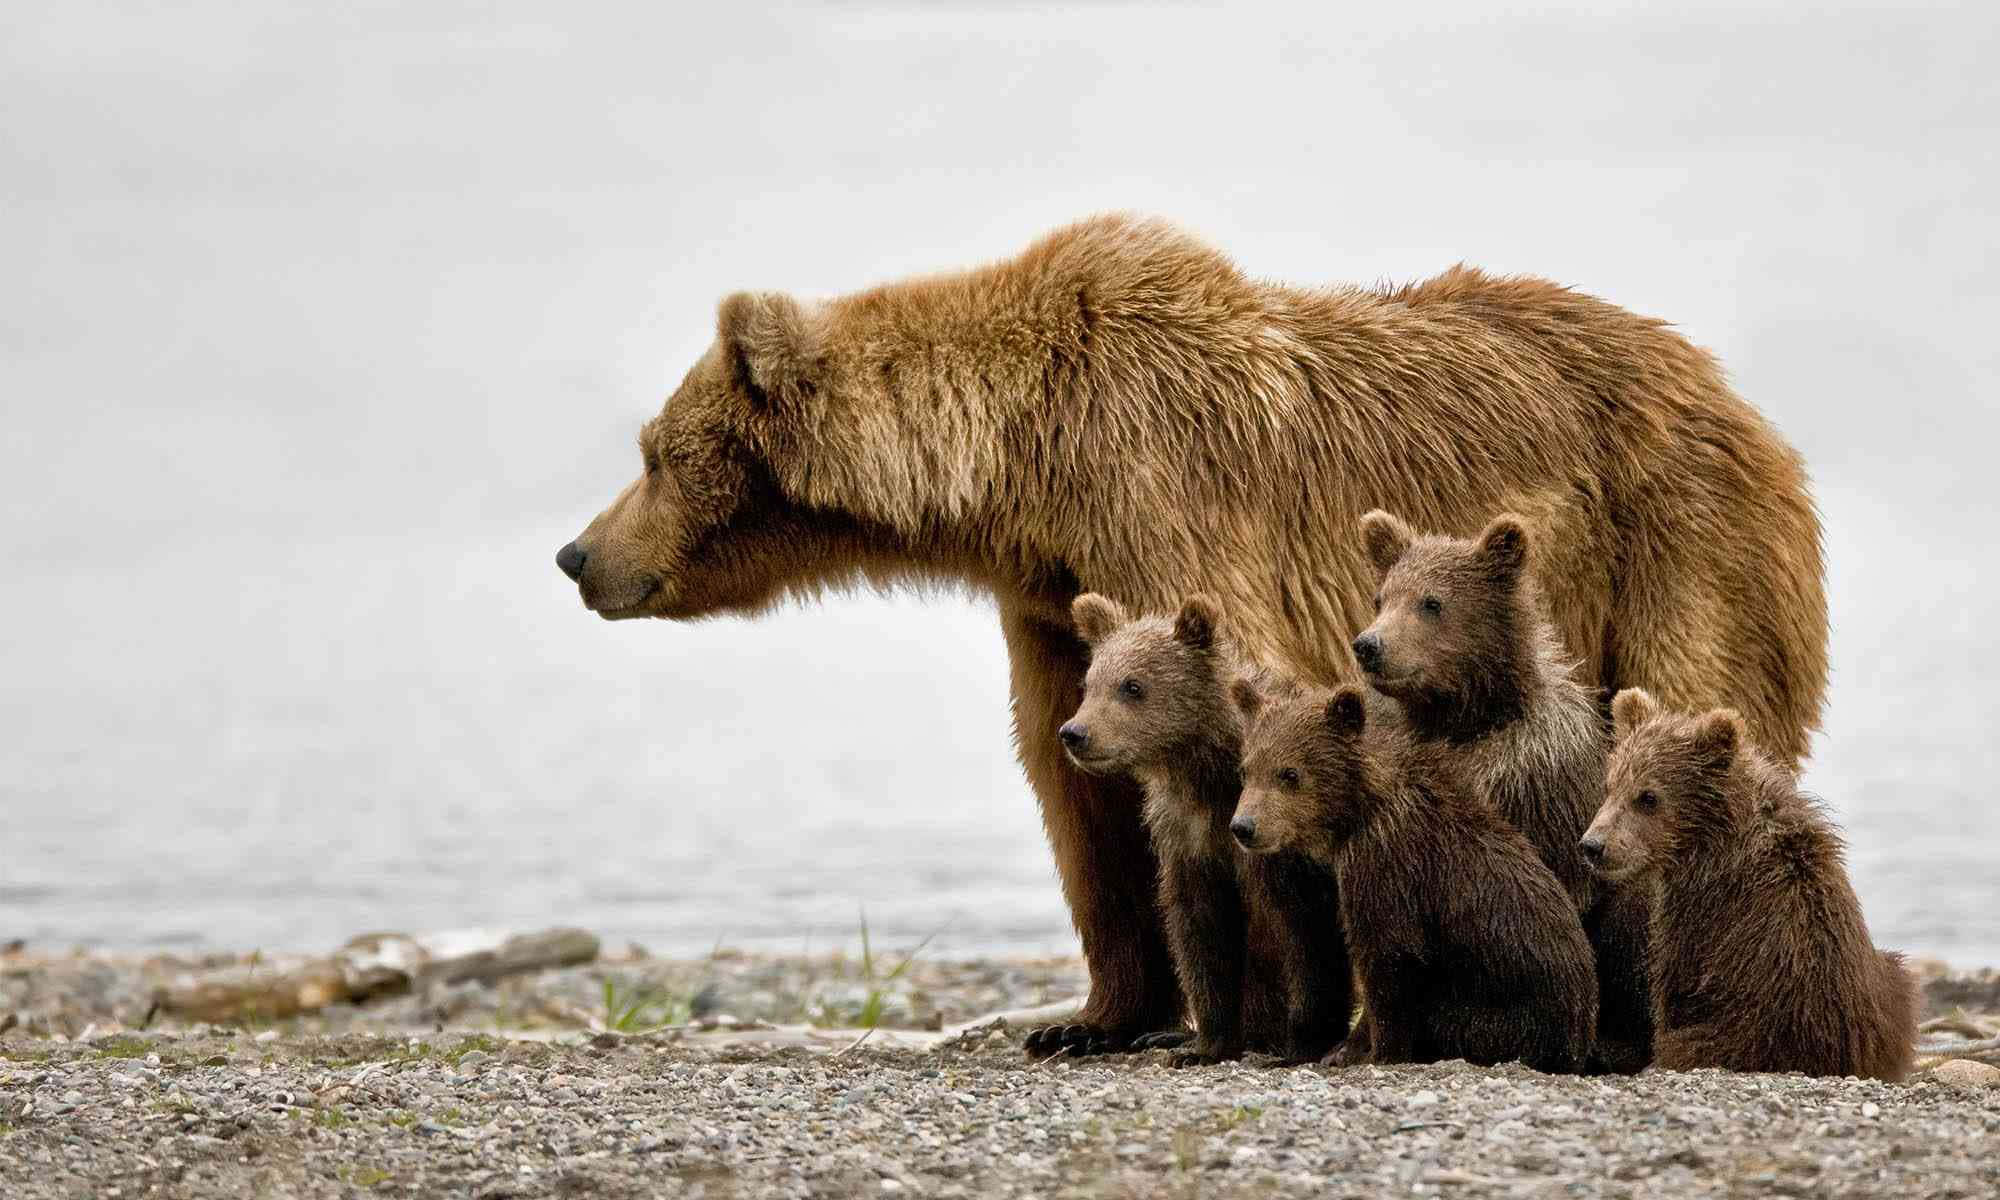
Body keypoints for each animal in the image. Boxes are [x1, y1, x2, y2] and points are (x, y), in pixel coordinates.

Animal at [1061, 592, 1352, 1065]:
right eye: (1089, 684)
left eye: (1132, 686)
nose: (1074, 732)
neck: (1204, 773)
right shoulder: (1186, 838)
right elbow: (1199, 932)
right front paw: (1204, 1044)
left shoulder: (1278, 834)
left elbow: (1300, 931)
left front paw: (1302, 1039)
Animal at [1231, 681, 1598, 1074]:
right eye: (1246, 770)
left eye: (1290, 773)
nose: (1244, 826)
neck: (1355, 812)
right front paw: (1332, 1048)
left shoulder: (1386, 861)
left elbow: (1389, 956)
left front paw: (1370, 1050)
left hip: (1500, 1014)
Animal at [1583, 688, 1918, 1081]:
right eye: (1610, 785)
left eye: (1648, 796)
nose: (1593, 845)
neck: (1712, 836)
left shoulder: (1697, 914)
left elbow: (1672, 990)